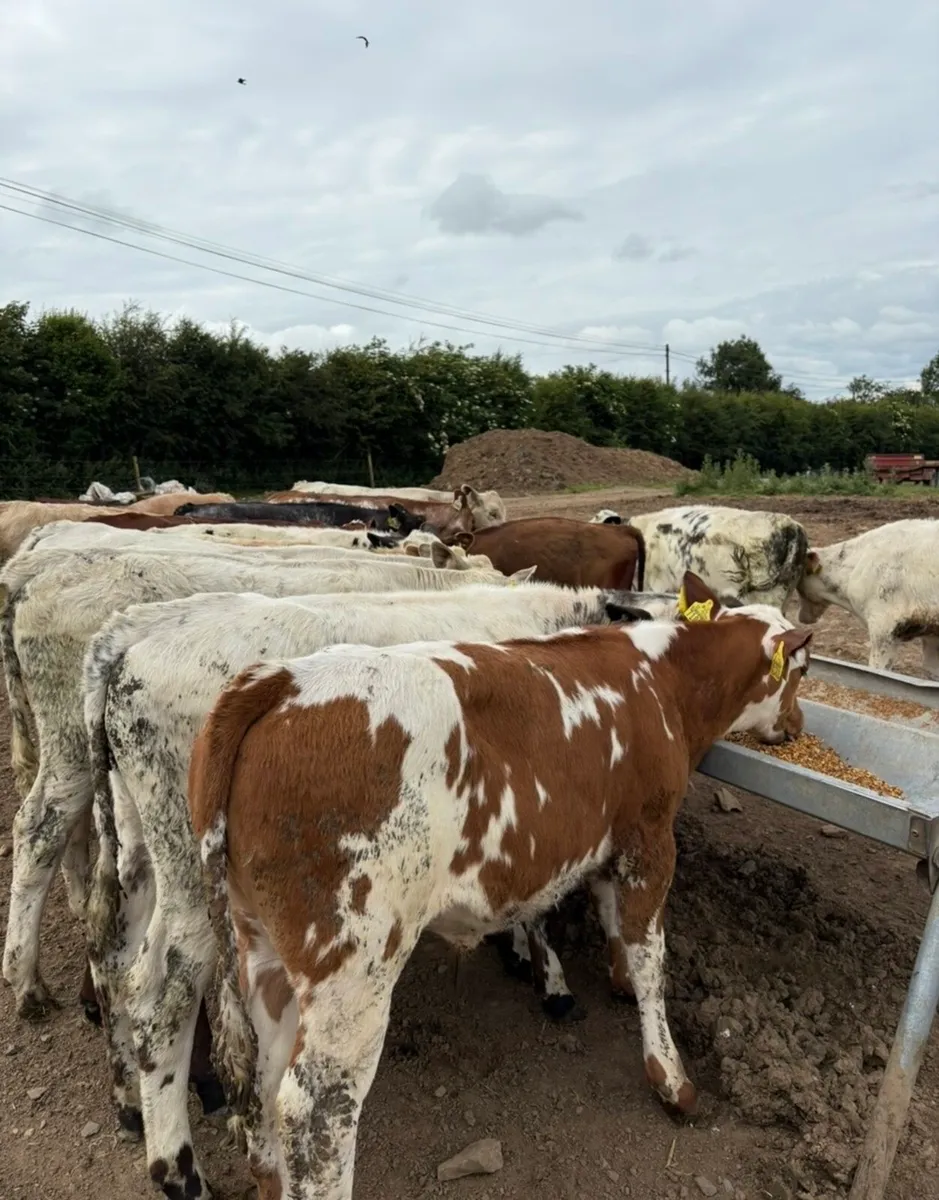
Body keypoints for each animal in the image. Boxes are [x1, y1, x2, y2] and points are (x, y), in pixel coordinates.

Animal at [82, 581, 671, 1196]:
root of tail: (126, 642)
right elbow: (553, 904)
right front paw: (554, 980)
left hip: (138, 846)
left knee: (113, 952)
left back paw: (132, 1107)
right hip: (196, 886)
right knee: (160, 999)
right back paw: (179, 1167)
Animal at [188, 572, 811, 1200]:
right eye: (802, 670)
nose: (797, 726)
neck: (663, 678)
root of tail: (280, 681)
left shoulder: (604, 840)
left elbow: (609, 914)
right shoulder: (651, 839)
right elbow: (650, 956)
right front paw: (670, 1077)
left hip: (261, 949)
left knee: (265, 1085)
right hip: (354, 968)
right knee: (317, 1109)